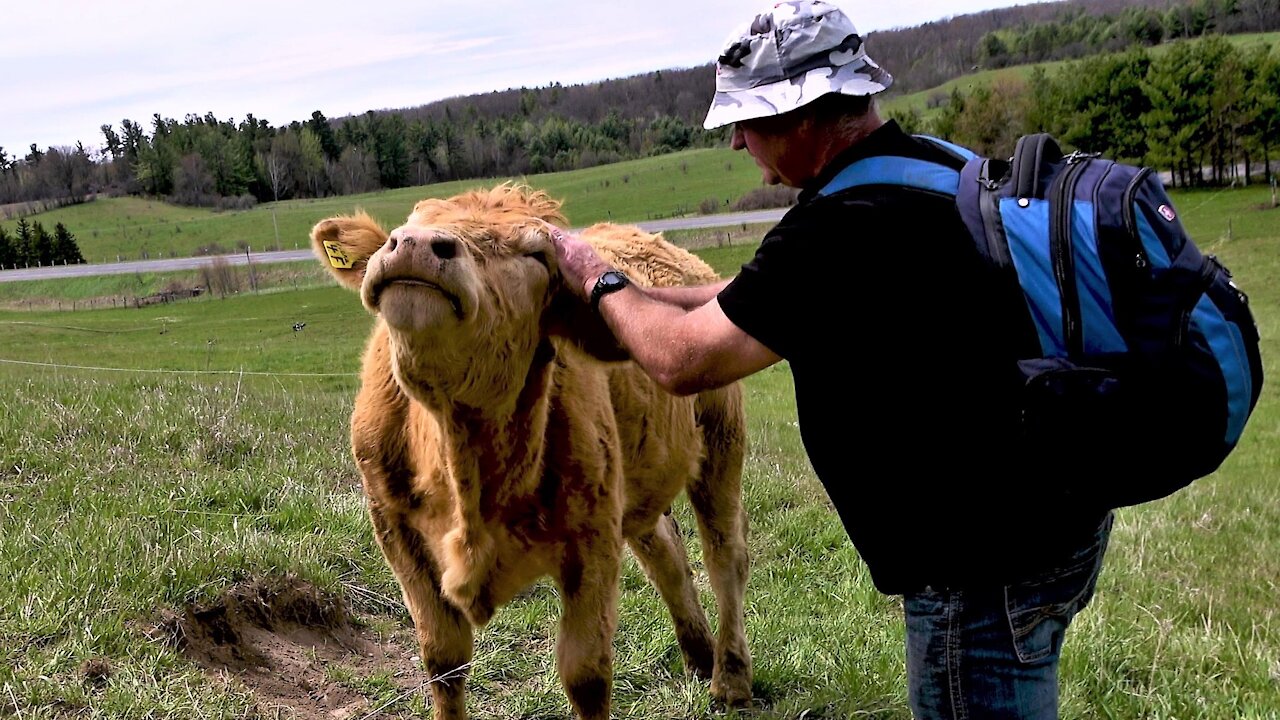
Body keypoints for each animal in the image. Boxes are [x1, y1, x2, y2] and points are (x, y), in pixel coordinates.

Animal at [308, 181, 747, 712]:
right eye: (407, 224)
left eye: (536, 254)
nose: (414, 244)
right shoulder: (395, 532)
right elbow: (443, 660)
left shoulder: (593, 539)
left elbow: (586, 673)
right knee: (665, 551)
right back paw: (698, 655)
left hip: (722, 436)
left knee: (724, 555)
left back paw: (730, 679)